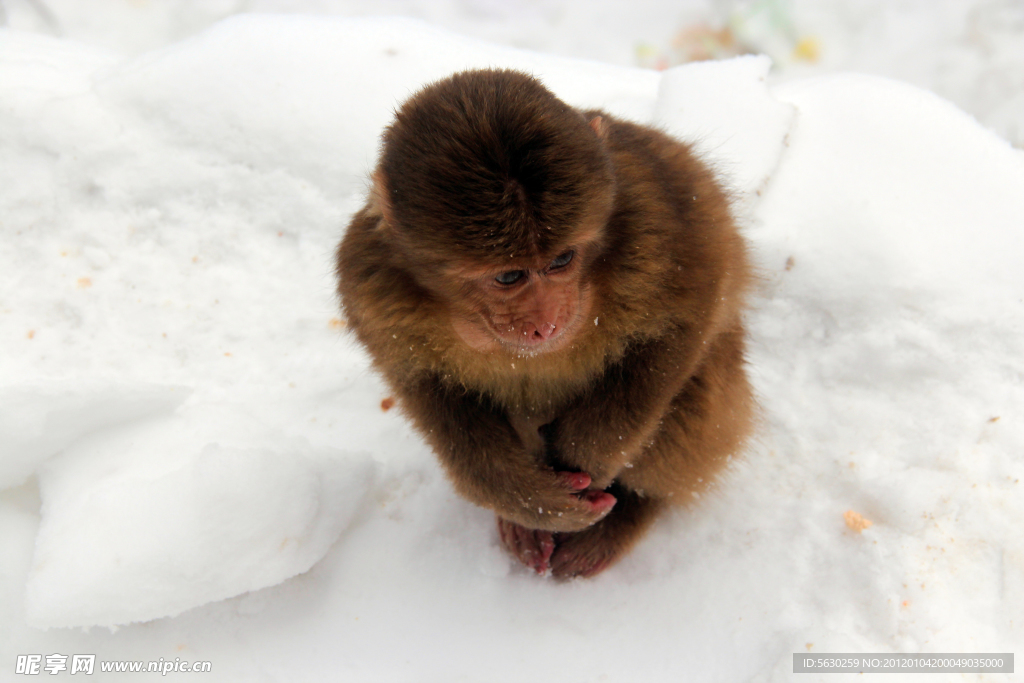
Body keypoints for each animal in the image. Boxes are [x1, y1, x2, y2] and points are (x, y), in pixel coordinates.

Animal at [335, 69, 753, 581]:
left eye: (561, 260)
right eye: (508, 276)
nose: (546, 324)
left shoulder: (657, 222)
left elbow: (681, 321)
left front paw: (589, 458)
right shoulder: (370, 288)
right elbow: (426, 387)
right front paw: (529, 502)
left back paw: (632, 509)